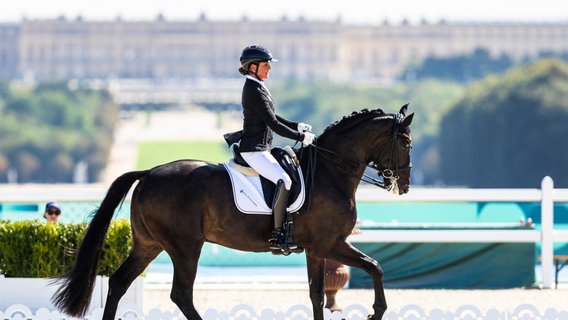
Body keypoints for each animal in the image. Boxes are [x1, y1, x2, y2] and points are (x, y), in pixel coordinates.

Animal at [51, 105, 412, 320]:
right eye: (406, 143)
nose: (405, 186)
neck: (328, 171)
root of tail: (149, 172)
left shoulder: (317, 249)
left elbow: (317, 295)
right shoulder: (330, 244)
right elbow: (375, 267)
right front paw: (376, 312)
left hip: (148, 245)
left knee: (118, 283)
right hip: (184, 247)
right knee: (181, 294)